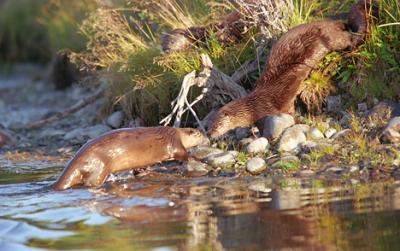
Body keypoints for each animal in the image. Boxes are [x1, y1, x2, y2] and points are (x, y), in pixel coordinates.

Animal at [53, 126, 209, 191]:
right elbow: (182, 153)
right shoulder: (175, 143)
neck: (175, 133)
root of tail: (76, 160)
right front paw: (195, 157)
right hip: (99, 166)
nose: (208, 139)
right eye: (200, 134)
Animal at [209, 0, 378, 138]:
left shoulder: (266, 110)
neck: (252, 108)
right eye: (211, 126)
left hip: (329, 38)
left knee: (348, 37)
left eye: (216, 124)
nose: (210, 134)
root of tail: (329, 22)